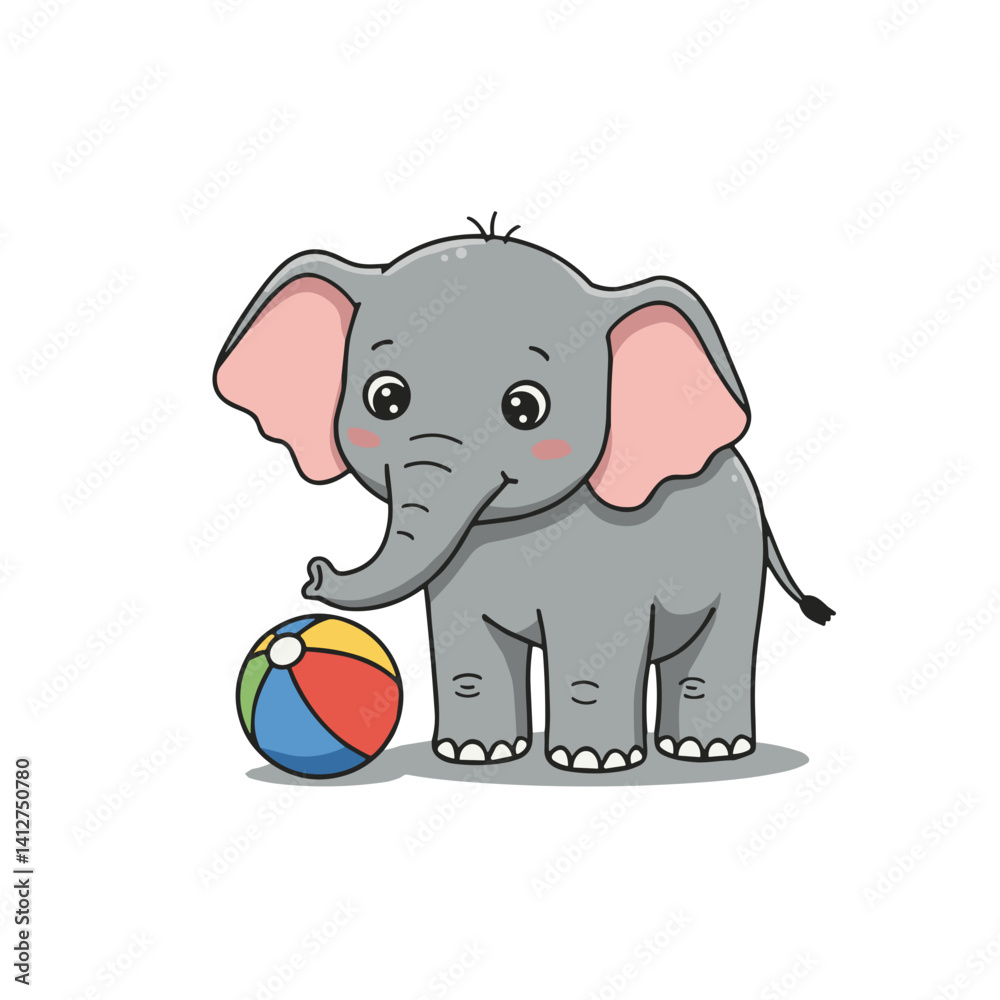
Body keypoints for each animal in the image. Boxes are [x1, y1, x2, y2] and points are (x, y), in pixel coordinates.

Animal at [215, 216, 834, 773]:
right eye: (385, 398)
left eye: (525, 408)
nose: (313, 571)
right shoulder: (458, 572)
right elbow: (467, 651)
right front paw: (473, 755)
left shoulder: (609, 565)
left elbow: (591, 651)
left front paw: (592, 762)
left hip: (738, 559)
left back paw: (707, 752)